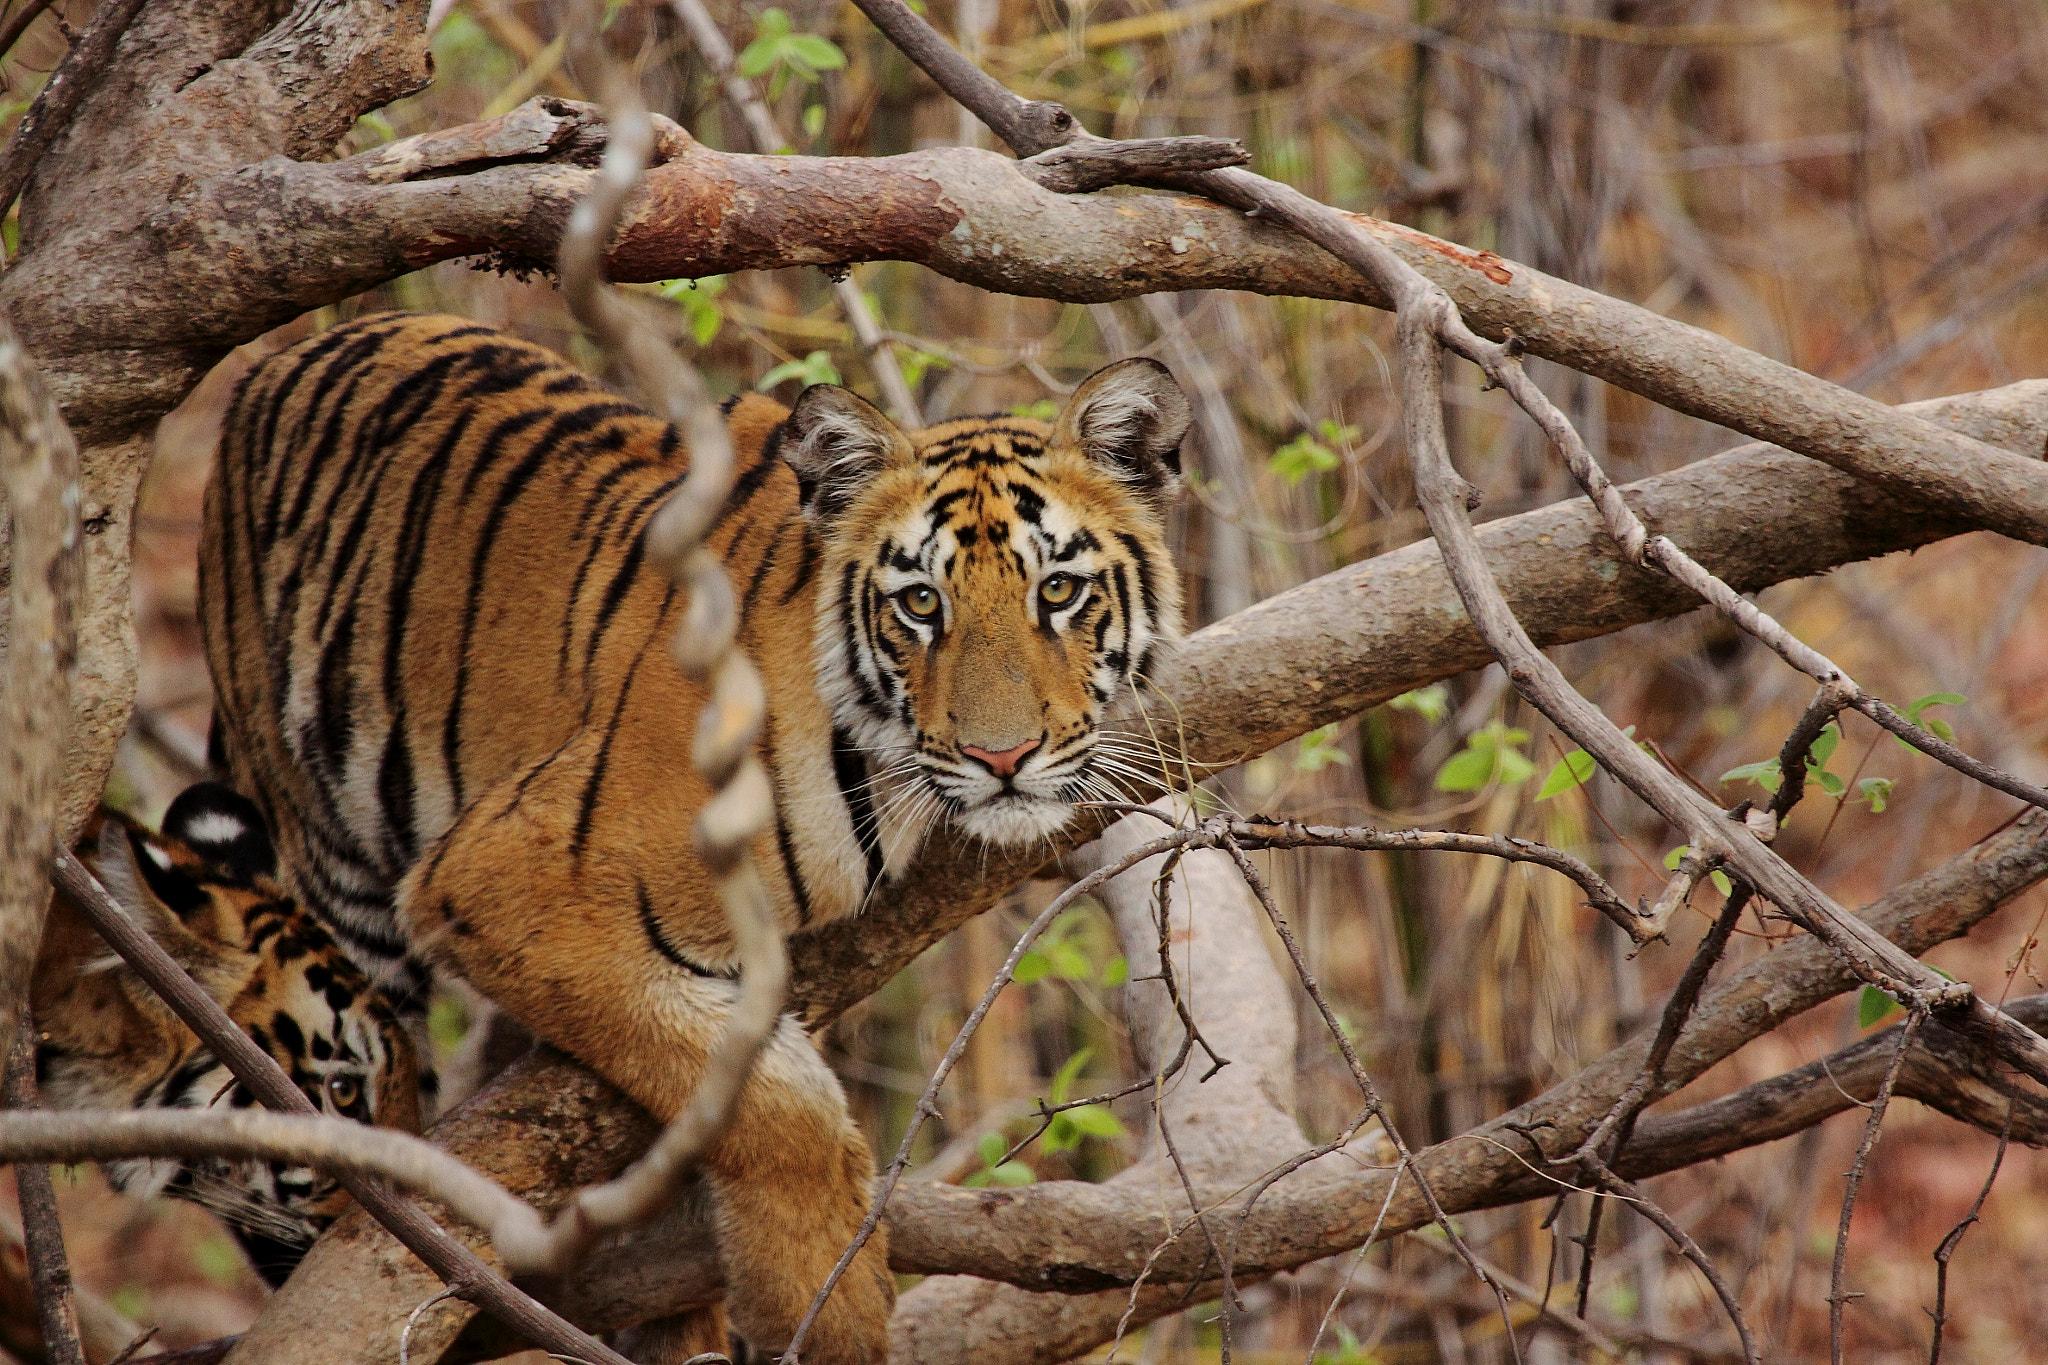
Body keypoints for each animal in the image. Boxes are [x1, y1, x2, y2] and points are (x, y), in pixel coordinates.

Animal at [195, 309, 1187, 1358]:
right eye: (922, 603)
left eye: (1060, 591)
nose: (1003, 756)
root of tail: (285, 357)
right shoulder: (505, 880)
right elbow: (776, 1104)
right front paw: (820, 1306)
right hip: (335, 875)